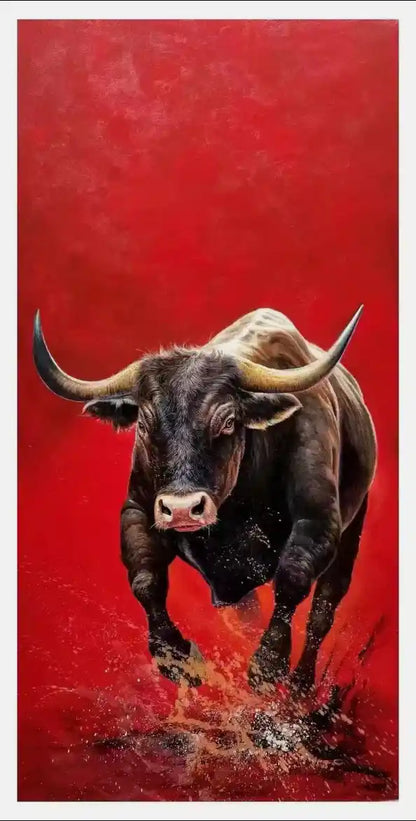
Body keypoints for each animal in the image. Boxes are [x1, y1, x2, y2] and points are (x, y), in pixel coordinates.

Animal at [33, 306, 376, 693]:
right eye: (144, 424)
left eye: (227, 422)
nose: (183, 509)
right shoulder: (138, 512)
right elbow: (145, 581)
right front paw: (179, 660)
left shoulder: (318, 521)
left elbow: (293, 579)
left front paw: (268, 666)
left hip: (353, 527)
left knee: (324, 608)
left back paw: (301, 684)